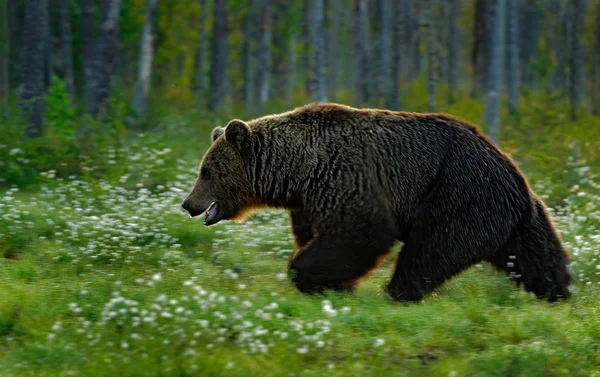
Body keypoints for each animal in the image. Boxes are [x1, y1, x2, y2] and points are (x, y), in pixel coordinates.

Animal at [182, 103, 572, 302]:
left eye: (207, 171)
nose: (188, 203)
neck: (296, 170)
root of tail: (512, 171)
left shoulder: (344, 174)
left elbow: (362, 230)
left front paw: (308, 275)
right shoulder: (309, 200)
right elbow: (319, 235)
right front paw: (332, 283)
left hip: (457, 194)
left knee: (431, 248)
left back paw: (399, 290)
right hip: (515, 216)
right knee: (536, 253)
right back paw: (559, 291)